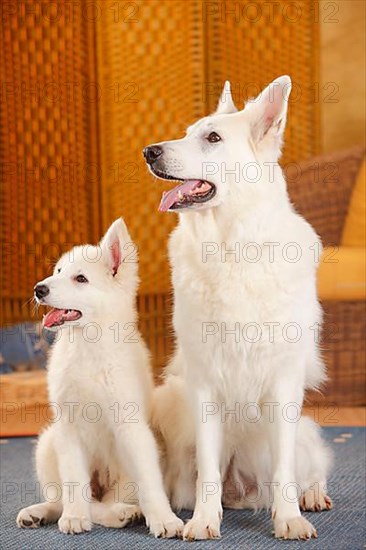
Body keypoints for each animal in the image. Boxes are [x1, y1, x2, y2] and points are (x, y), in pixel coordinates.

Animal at [16, 219, 183, 540]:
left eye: (80, 278)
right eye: (58, 271)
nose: (38, 289)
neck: (88, 345)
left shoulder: (131, 427)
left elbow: (149, 483)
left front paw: (164, 519)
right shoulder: (67, 427)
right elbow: (73, 483)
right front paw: (74, 517)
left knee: (113, 500)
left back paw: (124, 512)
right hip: (48, 442)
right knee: (67, 497)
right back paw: (41, 513)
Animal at [144, 76, 334, 544]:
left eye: (212, 138)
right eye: (187, 132)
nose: (149, 151)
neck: (232, 247)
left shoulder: (284, 385)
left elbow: (284, 469)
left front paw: (288, 520)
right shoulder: (204, 386)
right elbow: (207, 473)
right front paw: (203, 521)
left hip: (303, 429)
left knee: (309, 467)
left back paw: (312, 496)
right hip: (174, 406)